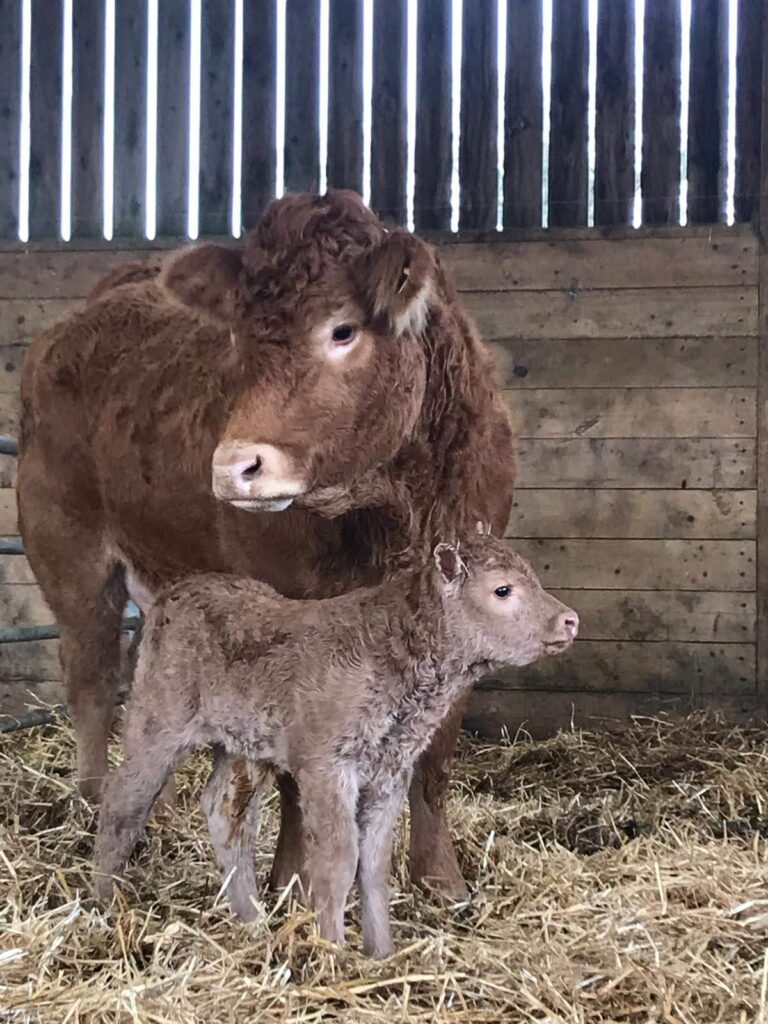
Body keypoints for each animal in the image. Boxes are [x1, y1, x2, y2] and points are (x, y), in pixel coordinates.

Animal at [17, 189, 515, 896]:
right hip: (68, 550)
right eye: (240, 337)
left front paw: (440, 879)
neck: (389, 505)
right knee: (90, 678)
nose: (233, 467)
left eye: (342, 330)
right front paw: (293, 882)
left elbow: (436, 752)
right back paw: (92, 806)